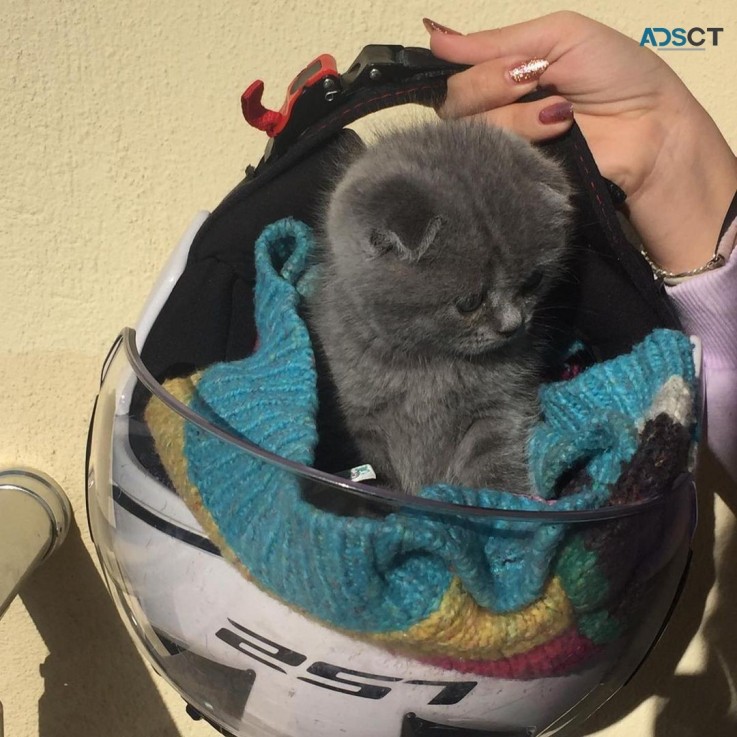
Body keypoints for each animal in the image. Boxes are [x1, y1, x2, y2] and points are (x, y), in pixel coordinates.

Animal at [308, 121, 572, 498]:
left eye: (533, 281)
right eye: (469, 303)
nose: (513, 325)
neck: (428, 365)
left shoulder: (501, 407)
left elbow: (495, 459)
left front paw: (506, 502)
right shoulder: (357, 418)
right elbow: (374, 469)